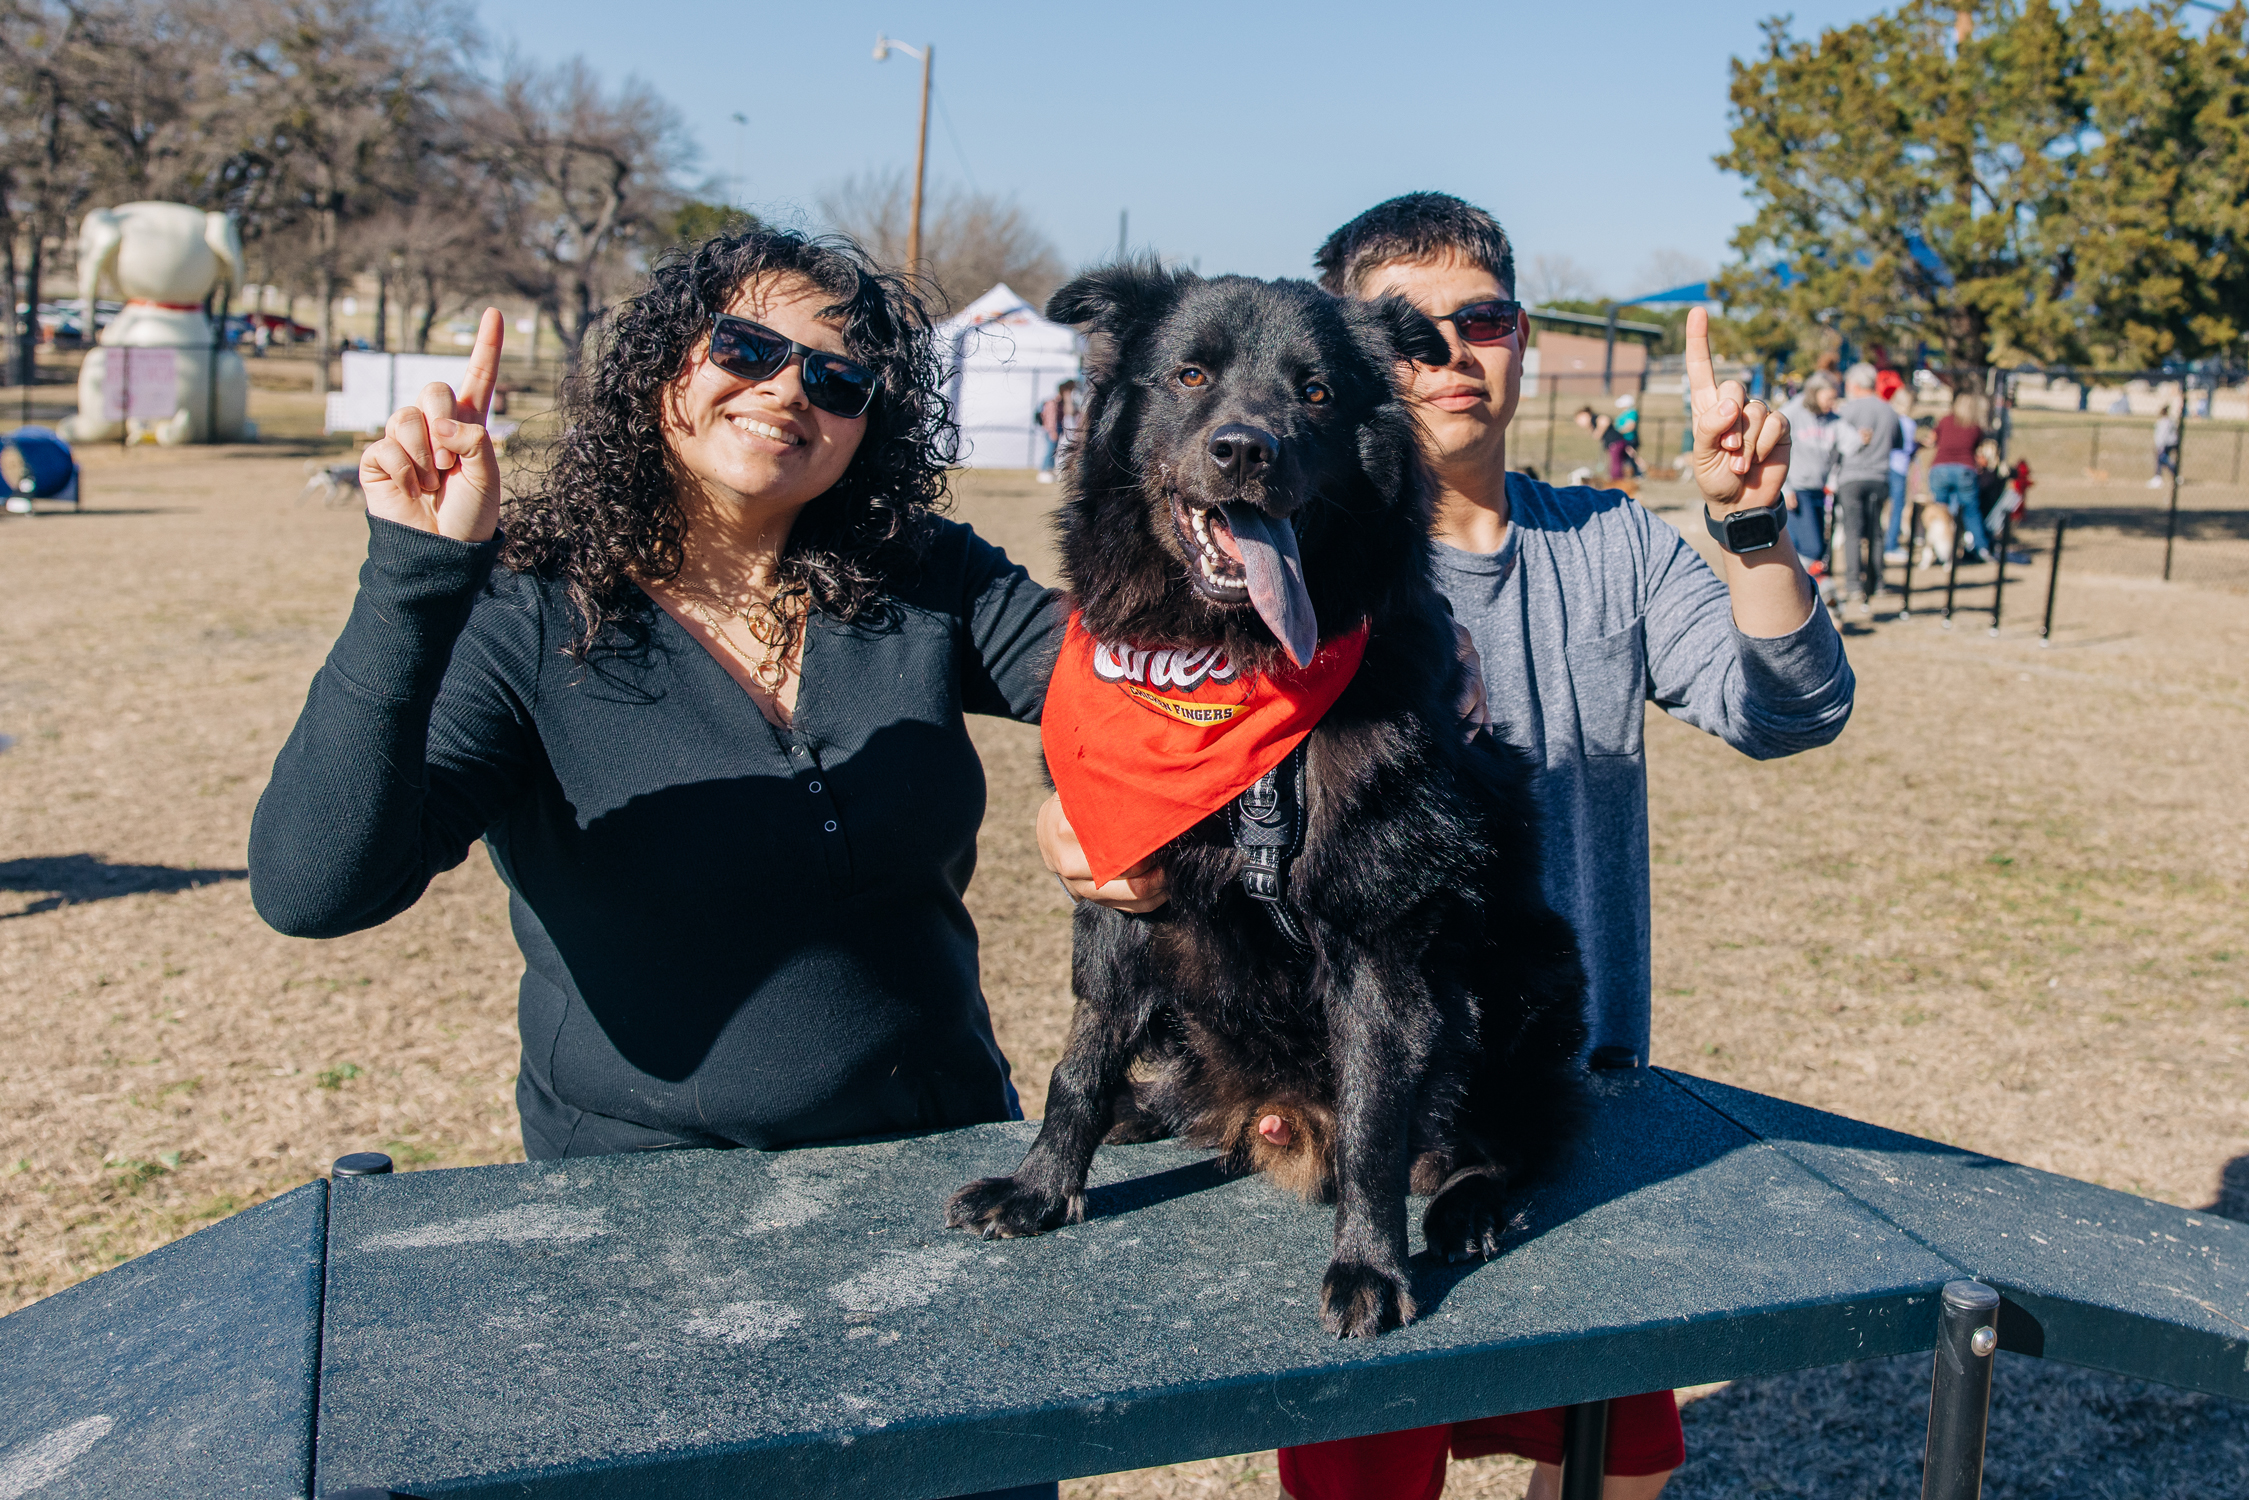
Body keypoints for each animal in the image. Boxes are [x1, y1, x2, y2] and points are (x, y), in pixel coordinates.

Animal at [940, 266, 1592, 1340]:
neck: (1225, 662)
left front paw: (1369, 1265)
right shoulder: (1118, 894)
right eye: (1189, 375)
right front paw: (1042, 1186)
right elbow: (1079, 1060)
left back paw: (1466, 1208)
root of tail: (1271, 1119)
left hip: (1529, 975)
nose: (1245, 450)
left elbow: (1374, 1123)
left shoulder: (1381, 938)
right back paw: (1143, 1111)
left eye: (1316, 394)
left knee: (1506, 1138)